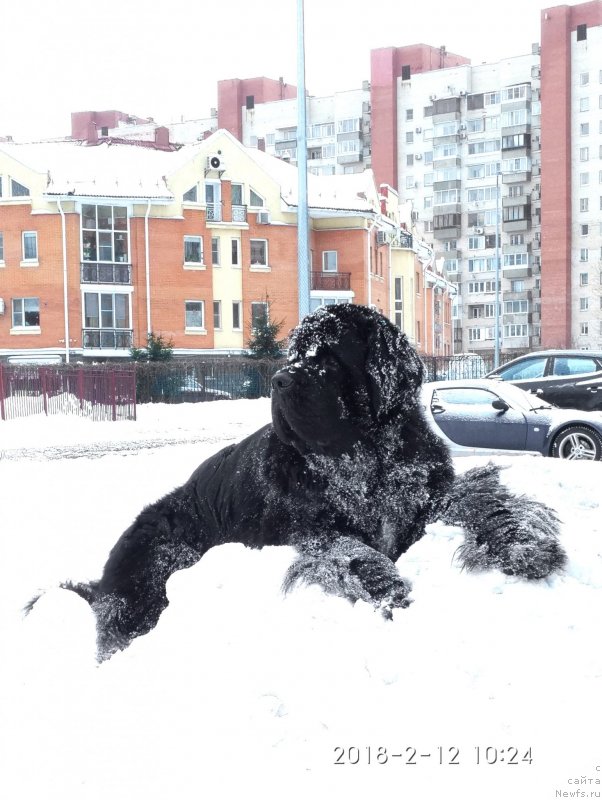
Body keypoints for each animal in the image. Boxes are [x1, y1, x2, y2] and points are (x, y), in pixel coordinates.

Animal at [55, 304, 564, 660]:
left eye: (328, 356)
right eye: (293, 354)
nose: (279, 379)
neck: (365, 462)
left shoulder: (424, 499)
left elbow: (480, 502)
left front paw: (525, 544)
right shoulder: (309, 530)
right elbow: (350, 550)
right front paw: (390, 591)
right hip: (159, 565)